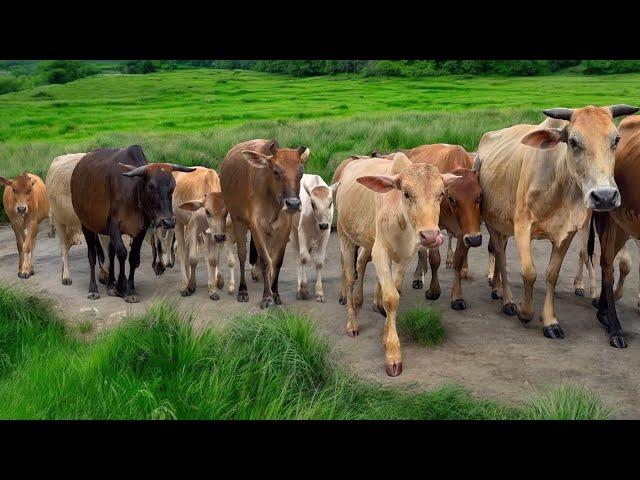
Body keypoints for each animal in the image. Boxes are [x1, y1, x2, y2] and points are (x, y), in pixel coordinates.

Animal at [71, 146, 194, 302]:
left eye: (173, 186)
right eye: (151, 186)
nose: (168, 221)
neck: (133, 192)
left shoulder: (140, 230)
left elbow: (133, 256)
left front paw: (129, 289)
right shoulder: (114, 226)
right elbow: (122, 253)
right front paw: (120, 287)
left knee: (111, 252)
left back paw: (110, 285)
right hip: (86, 224)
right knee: (92, 255)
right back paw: (93, 289)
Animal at [220, 141, 310, 310]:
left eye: (300, 173)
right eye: (275, 171)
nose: (293, 204)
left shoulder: (284, 227)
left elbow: (277, 261)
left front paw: (275, 293)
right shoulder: (255, 225)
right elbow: (265, 260)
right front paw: (267, 297)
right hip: (238, 220)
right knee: (242, 255)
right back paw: (243, 290)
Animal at [338, 152, 458, 376]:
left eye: (441, 194)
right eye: (407, 193)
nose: (430, 235)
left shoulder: (405, 256)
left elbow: (396, 292)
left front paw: (386, 336)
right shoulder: (380, 252)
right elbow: (391, 298)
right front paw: (393, 355)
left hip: (367, 242)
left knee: (361, 264)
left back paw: (361, 302)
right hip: (345, 237)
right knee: (350, 277)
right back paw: (352, 322)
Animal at [478, 104, 636, 338]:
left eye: (616, 139)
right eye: (573, 141)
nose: (605, 196)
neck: (557, 182)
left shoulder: (566, 233)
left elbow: (552, 274)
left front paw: (550, 322)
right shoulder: (522, 227)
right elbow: (529, 272)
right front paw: (525, 312)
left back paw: (497, 289)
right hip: (493, 223)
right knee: (500, 256)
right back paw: (507, 300)